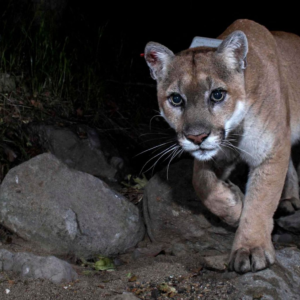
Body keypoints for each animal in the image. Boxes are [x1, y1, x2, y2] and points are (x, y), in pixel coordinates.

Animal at [144, 18, 300, 272]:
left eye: (217, 95)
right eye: (176, 99)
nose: (197, 137)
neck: (235, 131)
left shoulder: (270, 150)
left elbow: (261, 200)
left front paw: (250, 248)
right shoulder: (217, 154)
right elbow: (201, 182)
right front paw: (234, 206)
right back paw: (288, 199)